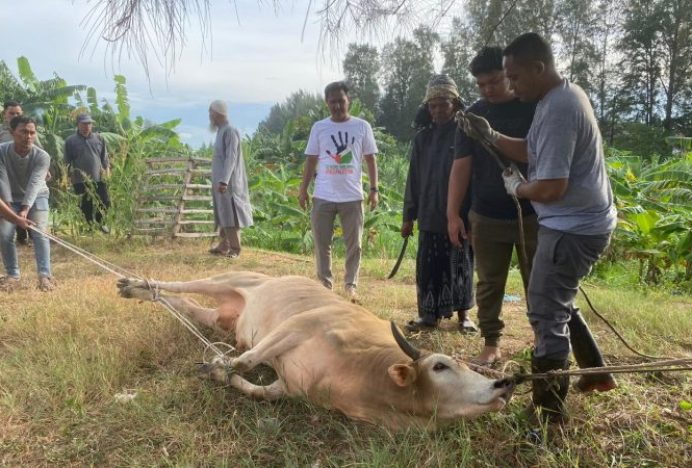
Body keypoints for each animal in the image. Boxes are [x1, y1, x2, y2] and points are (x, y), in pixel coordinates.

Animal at [117, 270, 512, 428]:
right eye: (441, 366)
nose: (504, 384)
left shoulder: (287, 387)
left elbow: (250, 385)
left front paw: (216, 368)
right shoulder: (303, 325)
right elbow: (247, 361)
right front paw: (219, 363)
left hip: (219, 318)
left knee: (182, 304)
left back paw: (141, 291)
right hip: (230, 278)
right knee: (181, 284)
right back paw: (135, 284)